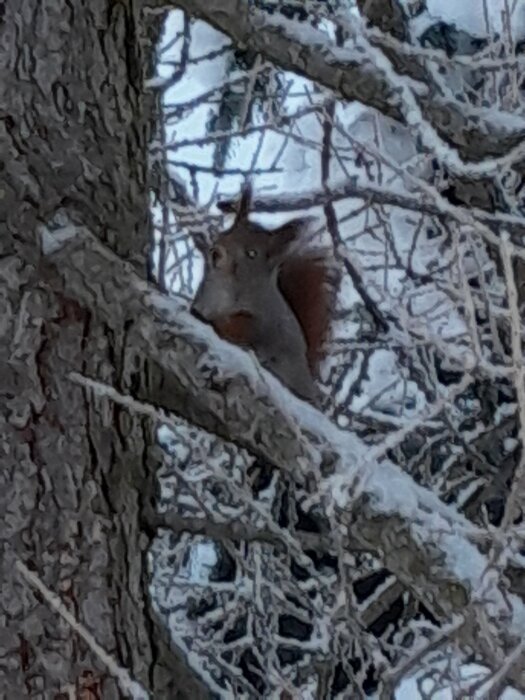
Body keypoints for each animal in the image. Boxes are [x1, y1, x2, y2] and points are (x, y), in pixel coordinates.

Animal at [192, 186, 336, 404]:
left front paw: (218, 323)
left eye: (252, 253)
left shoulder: (261, 325)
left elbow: (241, 330)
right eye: (226, 233)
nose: (217, 252)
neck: (223, 288)